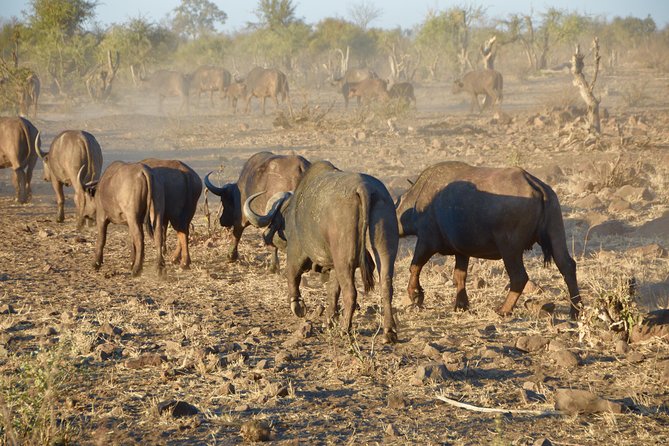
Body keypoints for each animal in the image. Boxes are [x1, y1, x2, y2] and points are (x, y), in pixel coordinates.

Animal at [245, 161, 402, 344]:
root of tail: (365, 188)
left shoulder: (296, 253)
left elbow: (292, 275)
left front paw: (298, 306)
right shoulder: (333, 266)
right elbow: (333, 290)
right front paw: (329, 321)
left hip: (344, 261)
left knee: (351, 293)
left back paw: (345, 329)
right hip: (384, 252)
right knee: (386, 287)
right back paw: (389, 332)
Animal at [396, 162, 580, 318]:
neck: (418, 199)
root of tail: (537, 187)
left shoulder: (426, 241)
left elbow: (414, 266)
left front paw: (415, 294)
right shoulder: (461, 252)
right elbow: (459, 276)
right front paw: (461, 305)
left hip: (509, 248)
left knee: (519, 277)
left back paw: (504, 309)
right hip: (556, 234)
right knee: (567, 267)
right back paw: (576, 310)